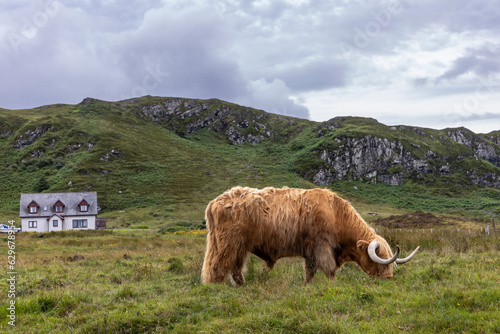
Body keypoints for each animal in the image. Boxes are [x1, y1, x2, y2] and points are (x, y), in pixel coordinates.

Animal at [200, 187, 418, 286]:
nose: (388, 278)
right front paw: (332, 286)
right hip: (228, 243)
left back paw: (242, 285)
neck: (336, 213)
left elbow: (310, 271)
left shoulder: (310, 251)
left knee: (235, 268)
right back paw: (216, 287)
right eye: (380, 261)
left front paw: (307, 286)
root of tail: (215, 201)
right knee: (218, 265)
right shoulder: (321, 245)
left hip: (240, 246)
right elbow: (328, 269)